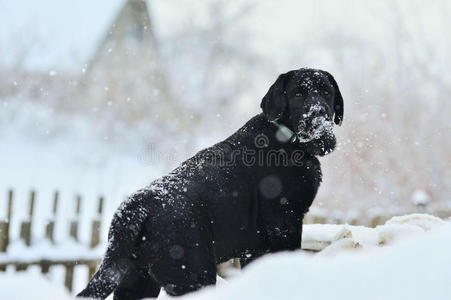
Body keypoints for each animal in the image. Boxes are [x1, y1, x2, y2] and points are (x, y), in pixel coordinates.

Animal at [79, 67, 344, 298]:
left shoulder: (254, 248)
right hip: (194, 274)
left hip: (138, 281)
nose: (319, 114)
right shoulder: (285, 224)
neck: (288, 140)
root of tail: (137, 207)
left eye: (326, 92)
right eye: (298, 94)